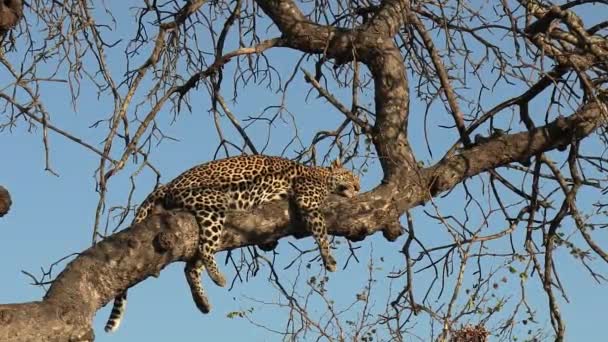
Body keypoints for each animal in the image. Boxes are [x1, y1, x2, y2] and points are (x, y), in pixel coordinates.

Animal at [105, 154, 360, 332]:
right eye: (352, 177)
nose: (358, 188)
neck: (322, 174)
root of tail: (168, 184)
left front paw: (270, 246)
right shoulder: (308, 199)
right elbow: (321, 231)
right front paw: (329, 259)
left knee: (191, 266)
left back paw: (203, 302)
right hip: (213, 204)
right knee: (204, 249)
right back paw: (219, 278)